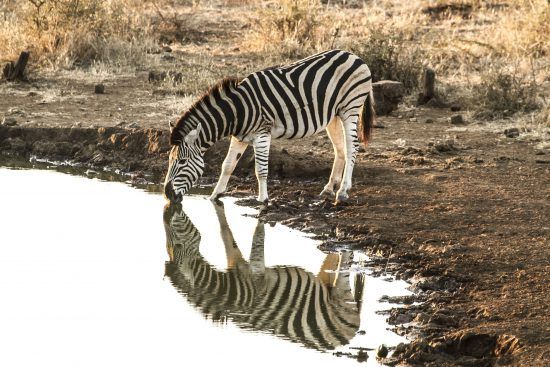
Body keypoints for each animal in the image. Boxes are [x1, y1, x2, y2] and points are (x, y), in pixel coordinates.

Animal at [163, 203, 366, 352]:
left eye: (177, 243)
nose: (167, 210)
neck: (230, 292)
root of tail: (344, 341)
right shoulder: (237, 264)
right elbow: (226, 234)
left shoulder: (256, 275)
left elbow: (254, 239)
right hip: (324, 282)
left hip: (341, 297)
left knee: (345, 266)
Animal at [166, 49, 378, 204]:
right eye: (170, 160)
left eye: (182, 162)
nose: (167, 195)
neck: (237, 113)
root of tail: (354, 56)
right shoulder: (240, 137)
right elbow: (227, 165)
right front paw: (214, 196)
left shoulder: (262, 134)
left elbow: (260, 169)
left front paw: (263, 199)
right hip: (332, 115)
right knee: (339, 149)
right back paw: (328, 189)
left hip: (350, 108)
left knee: (352, 147)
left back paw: (343, 191)